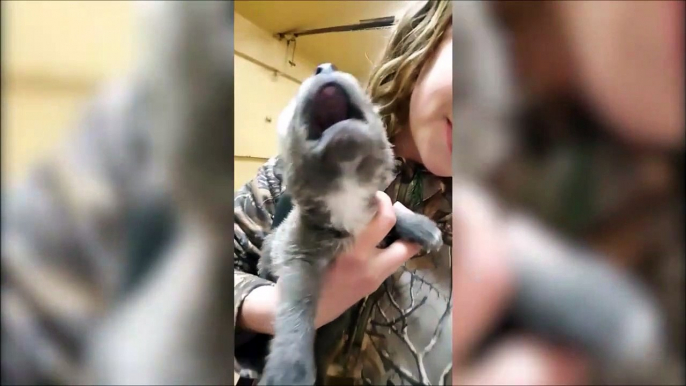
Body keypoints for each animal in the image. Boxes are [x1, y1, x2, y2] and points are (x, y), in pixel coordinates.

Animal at [255, 67, 444, 386]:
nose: (324, 67)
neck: (346, 192)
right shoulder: (296, 252)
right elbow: (298, 302)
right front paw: (290, 365)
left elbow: (390, 206)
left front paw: (420, 225)